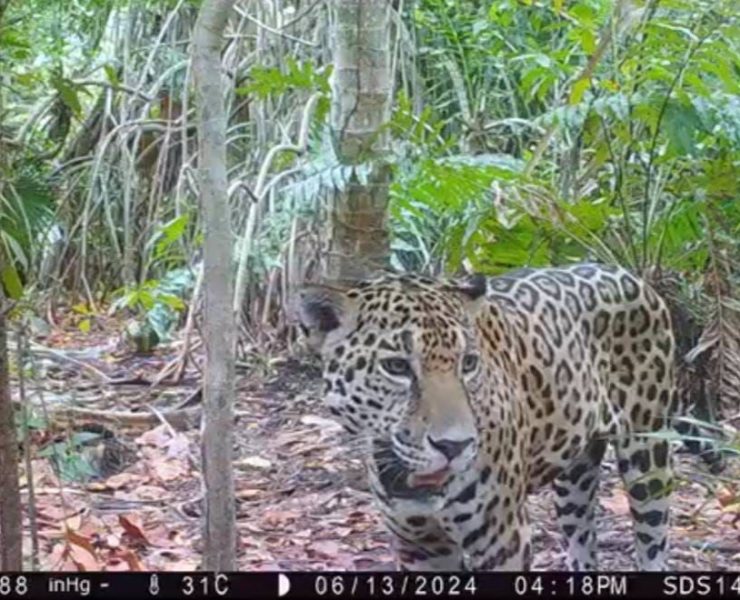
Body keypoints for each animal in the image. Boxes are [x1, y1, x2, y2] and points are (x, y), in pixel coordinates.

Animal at [298, 263, 679, 571]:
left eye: (468, 363)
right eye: (396, 366)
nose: (454, 446)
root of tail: (629, 274)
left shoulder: (502, 539)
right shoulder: (418, 546)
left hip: (647, 456)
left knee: (652, 544)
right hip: (574, 476)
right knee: (583, 545)